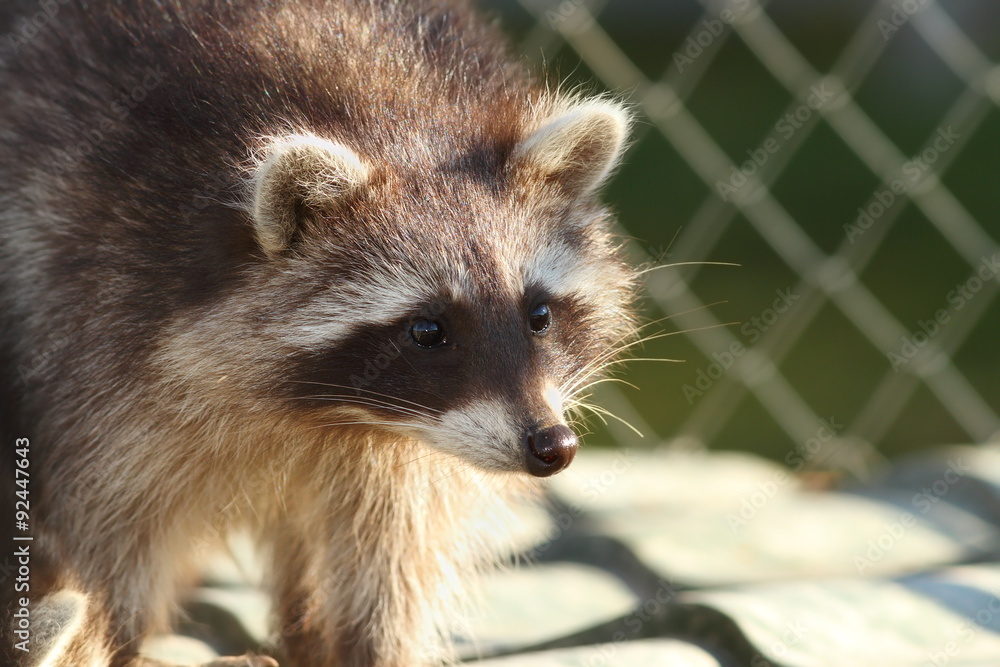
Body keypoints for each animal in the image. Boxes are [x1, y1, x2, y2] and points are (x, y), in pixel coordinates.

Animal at [0, 0, 635, 665]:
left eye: (539, 316)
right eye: (428, 330)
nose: (552, 445)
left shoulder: (413, 448)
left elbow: (396, 544)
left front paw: (378, 642)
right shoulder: (89, 311)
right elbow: (109, 525)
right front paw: (113, 637)